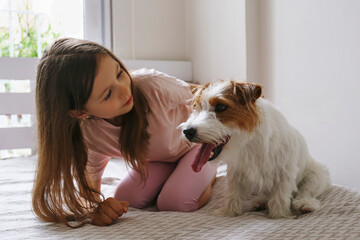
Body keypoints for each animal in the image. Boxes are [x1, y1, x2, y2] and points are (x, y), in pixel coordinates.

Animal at [179, 80, 330, 218]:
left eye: (221, 106)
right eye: (195, 106)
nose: (187, 131)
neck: (248, 143)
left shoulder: (285, 173)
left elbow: (280, 197)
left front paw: (280, 215)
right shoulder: (236, 174)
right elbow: (233, 195)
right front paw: (227, 212)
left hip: (316, 176)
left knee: (305, 192)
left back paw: (305, 204)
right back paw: (259, 202)